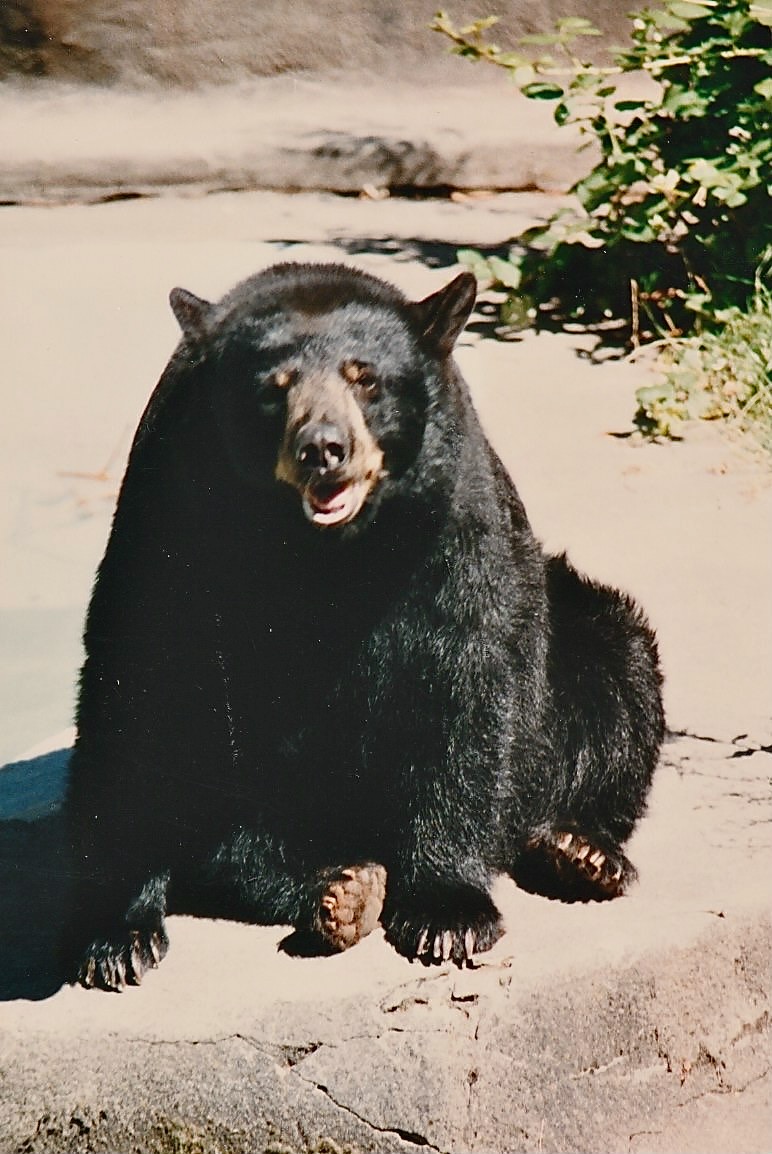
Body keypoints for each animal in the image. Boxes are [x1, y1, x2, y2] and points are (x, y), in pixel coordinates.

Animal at [62, 261, 664, 990]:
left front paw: (447, 910)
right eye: (275, 387)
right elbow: (145, 682)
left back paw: (579, 849)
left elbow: (465, 669)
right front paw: (117, 933)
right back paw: (337, 887)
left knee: (618, 674)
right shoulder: (174, 504)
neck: (325, 551)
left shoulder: (453, 513)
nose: (324, 448)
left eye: (365, 377)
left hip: (574, 651)